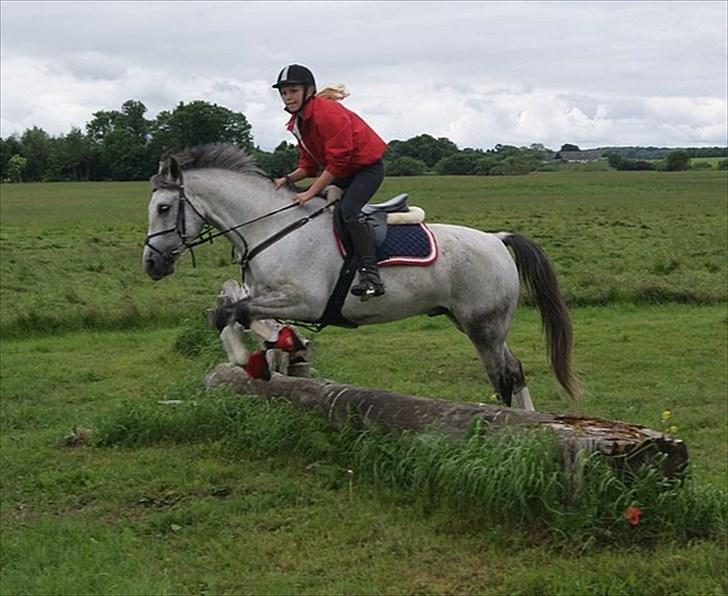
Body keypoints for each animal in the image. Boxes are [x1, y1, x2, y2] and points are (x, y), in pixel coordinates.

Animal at [145, 144, 584, 410]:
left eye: (164, 208)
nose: (151, 265)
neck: (273, 226)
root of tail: (496, 238)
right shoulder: (264, 296)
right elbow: (235, 314)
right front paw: (274, 349)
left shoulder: (303, 299)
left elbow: (231, 314)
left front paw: (254, 357)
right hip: (475, 323)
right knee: (516, 369)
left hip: (483, 326)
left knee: (503, 377)